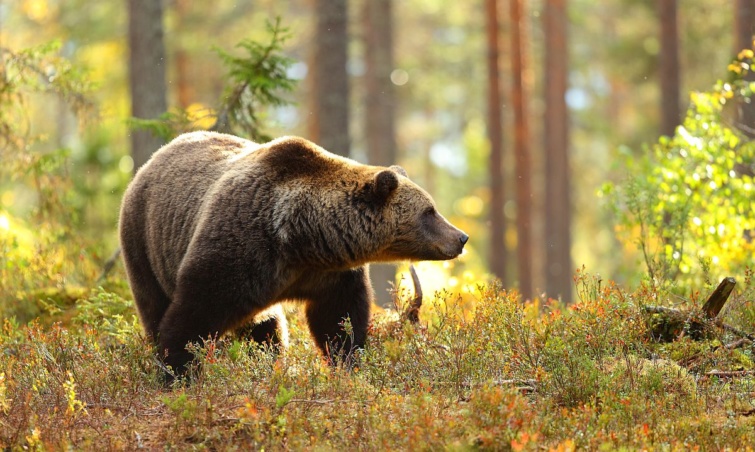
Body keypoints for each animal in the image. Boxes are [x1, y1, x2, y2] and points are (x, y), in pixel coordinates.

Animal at [119, 130, 466, 374]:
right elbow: (194, 311)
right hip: (144, 242)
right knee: (153, 303)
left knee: (265, 329)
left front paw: (348, 361)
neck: (301, 238)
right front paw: (178, 368)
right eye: (429, 211)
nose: (461, 237)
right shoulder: (239, 246)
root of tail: (151, 161)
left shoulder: (329, 274)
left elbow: (338, 320)